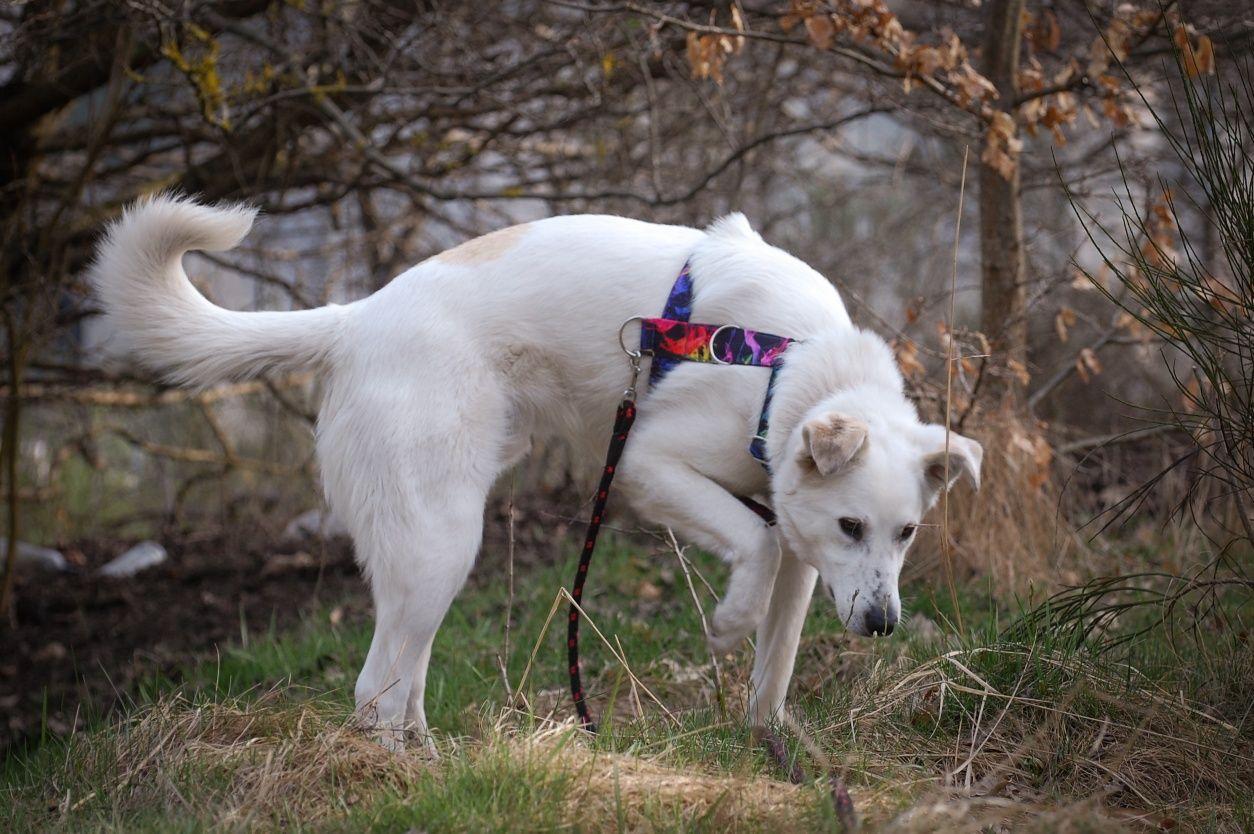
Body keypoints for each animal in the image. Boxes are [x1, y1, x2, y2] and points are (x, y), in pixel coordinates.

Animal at [92, 196, 983, 747]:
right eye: (852, 525)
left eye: (907, 533)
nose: (883, 627)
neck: (788, 365)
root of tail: (357, 319)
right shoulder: (648, 463)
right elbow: (753, 553)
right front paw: (729, 622)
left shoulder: (801, 544)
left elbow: (779, 655)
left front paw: (771, 745)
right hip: (441, 541)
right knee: (373, 690)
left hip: (431, 557)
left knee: (400, 679)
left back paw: (431, 760)